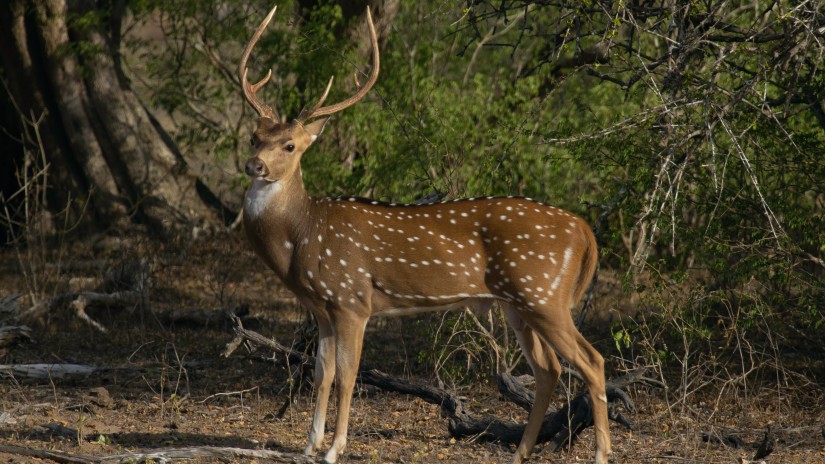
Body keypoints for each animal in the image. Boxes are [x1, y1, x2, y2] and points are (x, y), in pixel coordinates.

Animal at [238, 6, 612, 464]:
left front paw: (334, 449)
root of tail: (584, 230)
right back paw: (520, 452)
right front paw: (309, 444)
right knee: (549, 369)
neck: (304, 236)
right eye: (254, 137)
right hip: (518, 304)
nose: (254, 165)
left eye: (290, 145)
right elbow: (321, 374)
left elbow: (347, 377)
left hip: (543, 294)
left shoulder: (352, 299)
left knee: (592, 361)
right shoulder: (322, 308)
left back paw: (601, 453)